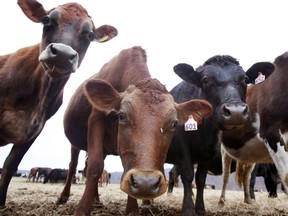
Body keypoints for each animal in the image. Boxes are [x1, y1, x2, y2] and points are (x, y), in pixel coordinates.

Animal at [56, 46, 214, 215]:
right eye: (121, 116)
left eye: (174, 123)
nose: (146, 183)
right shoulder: (96, 120)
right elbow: (95, 166)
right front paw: (82, 209)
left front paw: (132, 209)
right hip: (75, 144)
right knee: (73, 165)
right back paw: (64, 197)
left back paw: (97, 201)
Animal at [163, 55, 272, 216]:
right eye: (205, 80)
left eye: (245, 79)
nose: (236, 112)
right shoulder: (182, 147)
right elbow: (188, 175)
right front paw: (188, 209)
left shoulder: (208, 151)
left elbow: (201, 179)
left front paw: (200, 208)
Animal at [218, 51, 288, 207]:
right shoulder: (272, 134)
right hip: (224, 150)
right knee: (225, 176)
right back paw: (221, 201)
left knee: (246, 176)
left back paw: (248, 200)